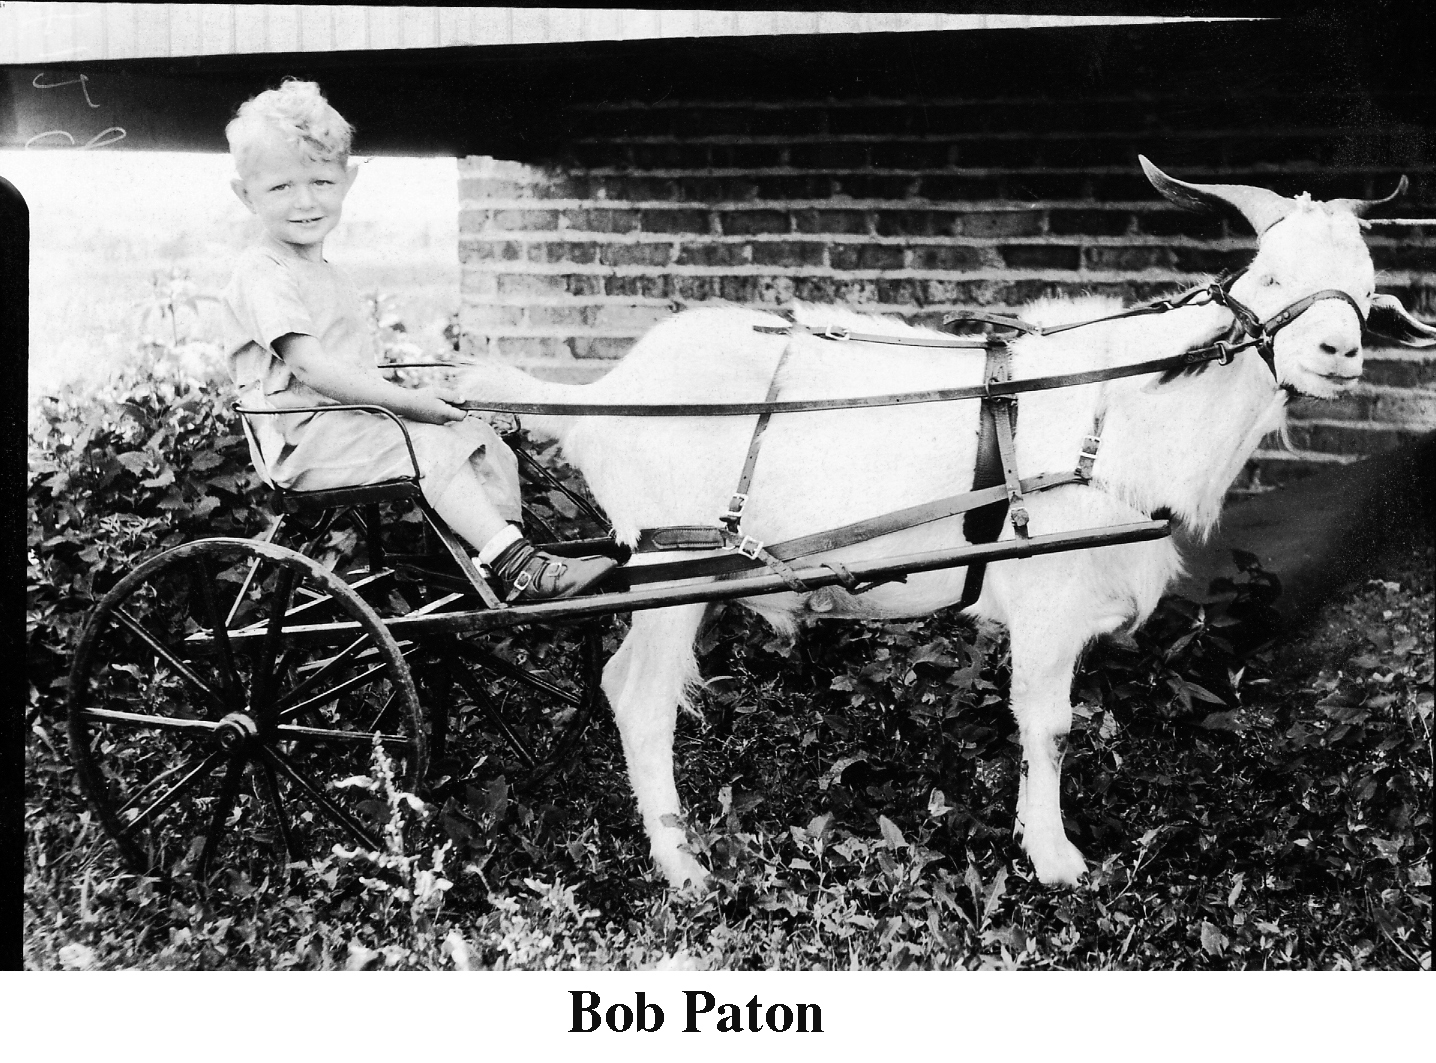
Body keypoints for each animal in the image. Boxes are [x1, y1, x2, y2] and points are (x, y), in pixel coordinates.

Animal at [459, 160, 1436, 890]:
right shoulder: (1047, 601)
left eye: (1365, 287)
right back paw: (681, 863)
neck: (1121, 401)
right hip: (677, 568)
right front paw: (1054, 857)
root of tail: (601, 397)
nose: (1339, 351)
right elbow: (1048, 725)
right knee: (638, 692)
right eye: (1270, 277)